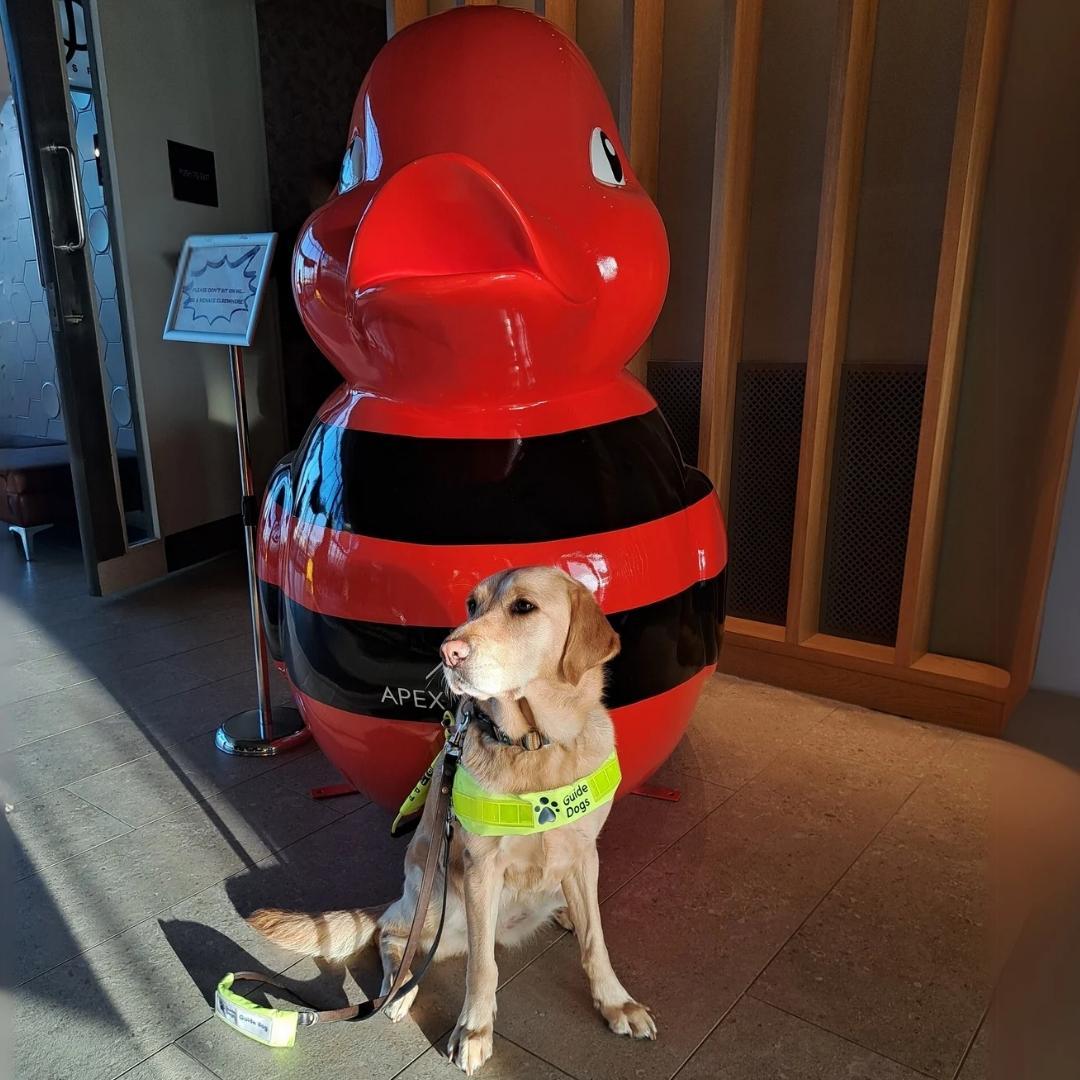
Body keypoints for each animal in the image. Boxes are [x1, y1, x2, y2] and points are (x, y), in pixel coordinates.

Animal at [248, 565, 652, 1071]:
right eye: (472, 605)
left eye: (523, 607)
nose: (448, 652)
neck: (534, 744)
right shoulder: (481, 871)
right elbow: (482, 967)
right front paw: (475, 1029)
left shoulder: (583, 855)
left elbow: (596, 941)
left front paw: (616, 1002)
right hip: (440, 895)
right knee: (393, 936)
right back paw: (400, 989)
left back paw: (563, 913)